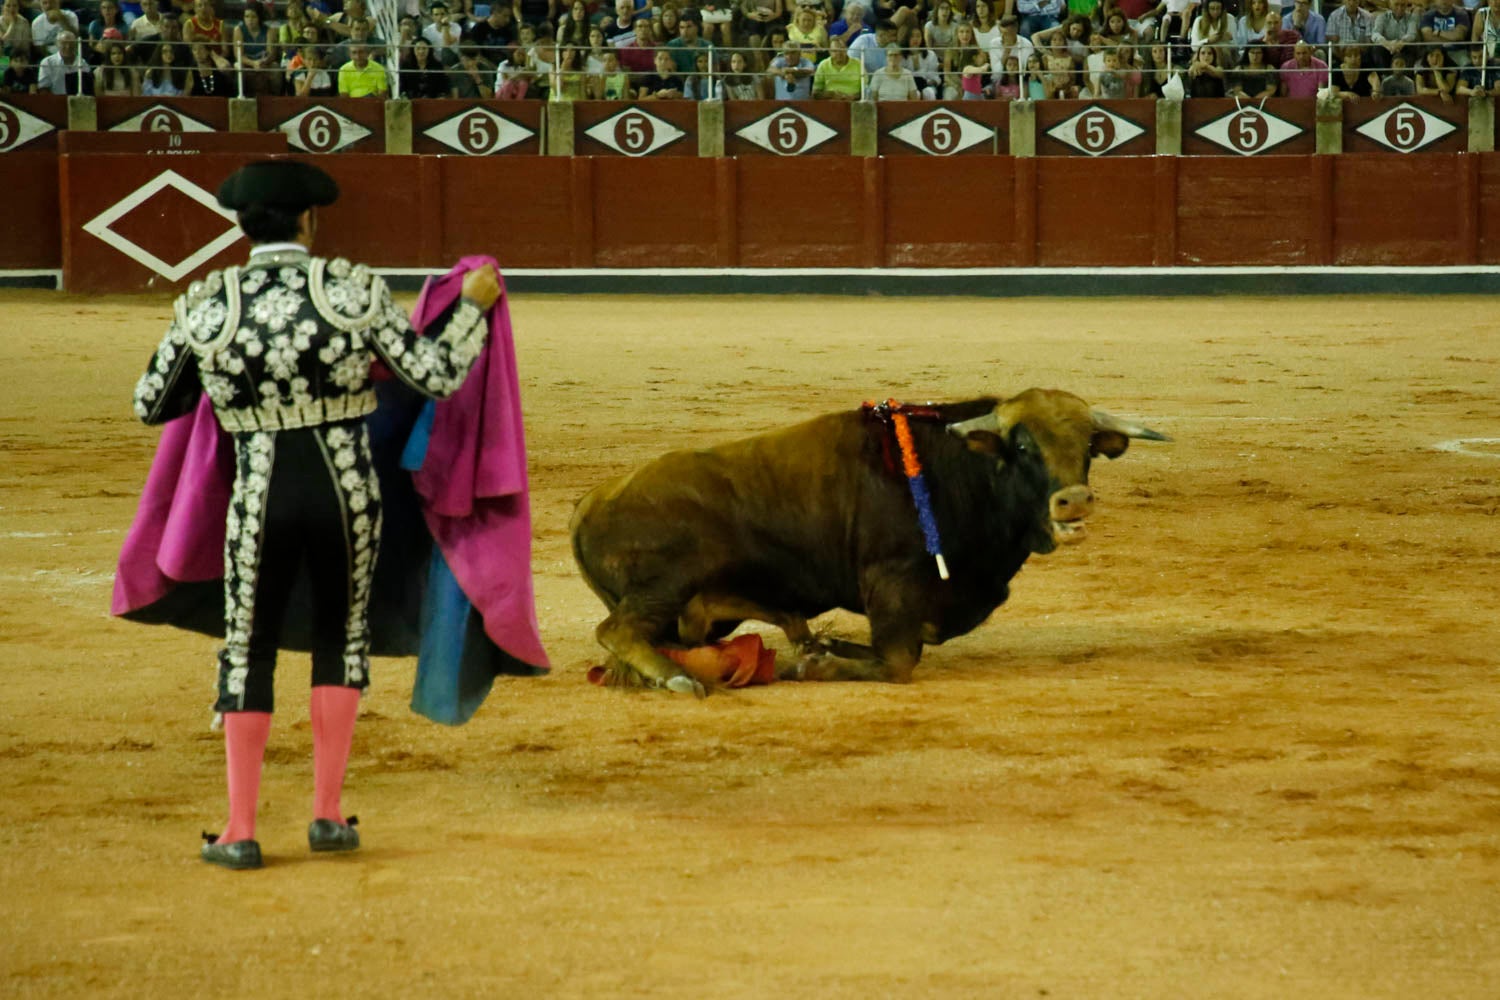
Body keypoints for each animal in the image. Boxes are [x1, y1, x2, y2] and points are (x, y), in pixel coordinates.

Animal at [567, 389, 1164, 695]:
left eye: (1087, 446)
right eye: (1022, 447)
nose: (1074, 500)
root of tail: (590, 501)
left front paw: (824, 648)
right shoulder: (893, 581)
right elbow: (899, 660)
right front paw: (818, 664)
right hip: (666, 583)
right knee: (617, 630)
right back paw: (678, 679)